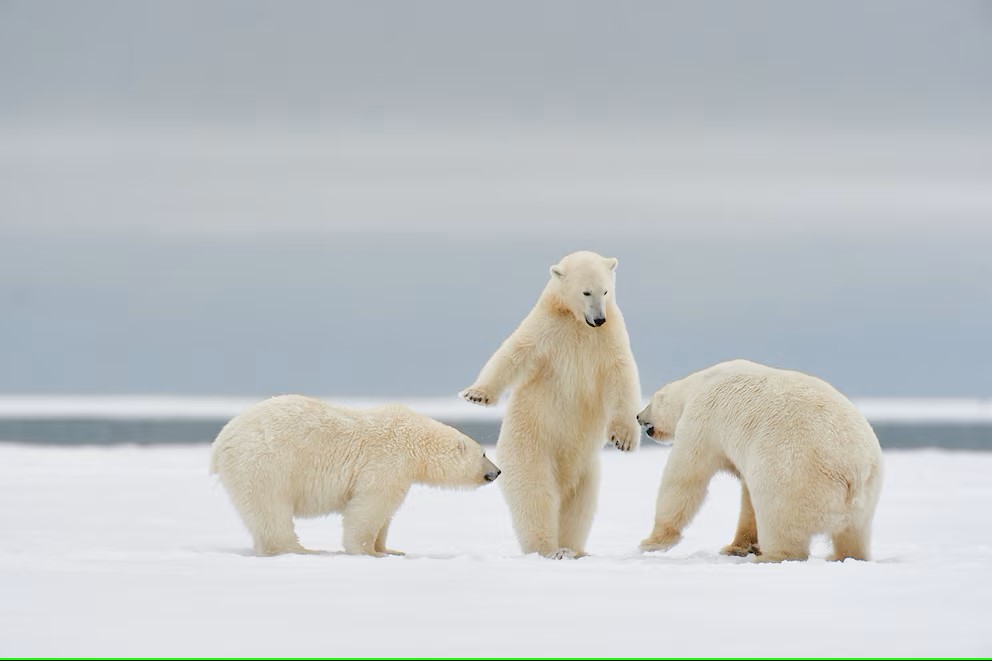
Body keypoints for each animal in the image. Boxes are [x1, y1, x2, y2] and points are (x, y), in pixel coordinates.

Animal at [212, 394, 500, 556]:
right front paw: (369, 552)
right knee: (271, 510)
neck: (415, 440)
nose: (497, 471)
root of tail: (221, 441)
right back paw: (300, 549)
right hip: (265, 463)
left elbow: (385, 515)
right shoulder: (387, 462)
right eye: (484, 453)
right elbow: (370, 506)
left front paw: (390, 549)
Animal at [460, 250, 640, 560]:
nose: (599, 318)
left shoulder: (610, 337)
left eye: (606, 290)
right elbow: (514, 352)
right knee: (536, 495)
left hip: (587, 469)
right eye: (586, 291)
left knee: (579, 505)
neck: (577, 323)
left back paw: (573, 549)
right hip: (531, 447)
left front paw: (624, 439)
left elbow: (621, 376)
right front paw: (477, 395)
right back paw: (549, 549)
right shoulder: (547, 329)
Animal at [640, 360, 888, 564]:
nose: (638, 417)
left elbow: (685, 477)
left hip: (794, 476)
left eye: (650, 402)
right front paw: (737, 547)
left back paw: (771, 556)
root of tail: (853, 473)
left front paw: (651, 542)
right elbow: (747, 497)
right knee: (854, 534)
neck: (701, 382)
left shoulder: (701, 420)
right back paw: (842, 556)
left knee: (778, 517)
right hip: (867, 497)